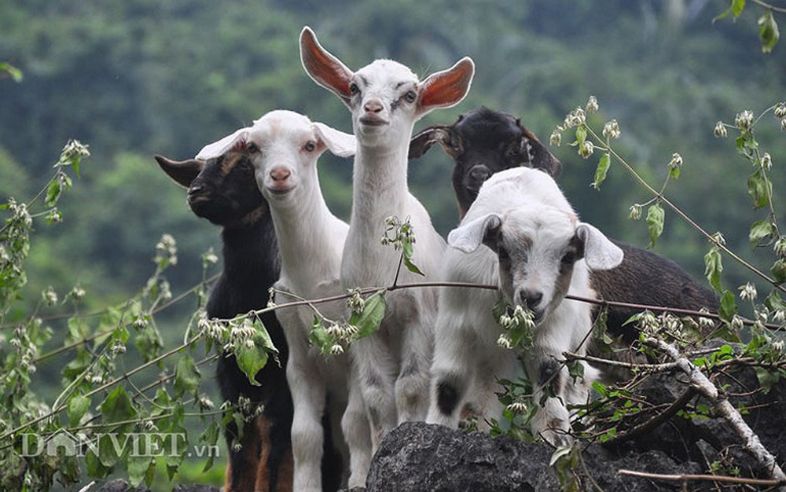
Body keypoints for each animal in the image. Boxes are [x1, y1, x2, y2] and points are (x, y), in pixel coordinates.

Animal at [155, 150, 342, 491]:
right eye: (201, 167)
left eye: (243, 164)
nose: (195, 192)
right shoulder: (231, 369)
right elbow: (239, 433)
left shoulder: (285, 369)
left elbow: (275, 432)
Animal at [195, 110, 371, 491]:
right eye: (253, 147)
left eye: (309, 144)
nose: (279, 174)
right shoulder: (280, 362)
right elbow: (286, 435)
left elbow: (345, 426)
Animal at [299, 26, 475, 448]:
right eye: (354, 86)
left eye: (408, 94)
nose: (373, 109)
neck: (382, 267)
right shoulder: (362, 317)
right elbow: (377, 393)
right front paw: (382, 445)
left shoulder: (421, 314)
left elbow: (411, 385)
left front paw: (409, 432)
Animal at [433, 167, 621, 444]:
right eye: (503, 251)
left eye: (568, 257)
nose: (531, 296)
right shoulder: (456, 323)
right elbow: (449, 383)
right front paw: (438, 426)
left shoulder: (553, 328)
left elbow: (549, 372)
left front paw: (555, 436)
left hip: (578, 333)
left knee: (579, 377)